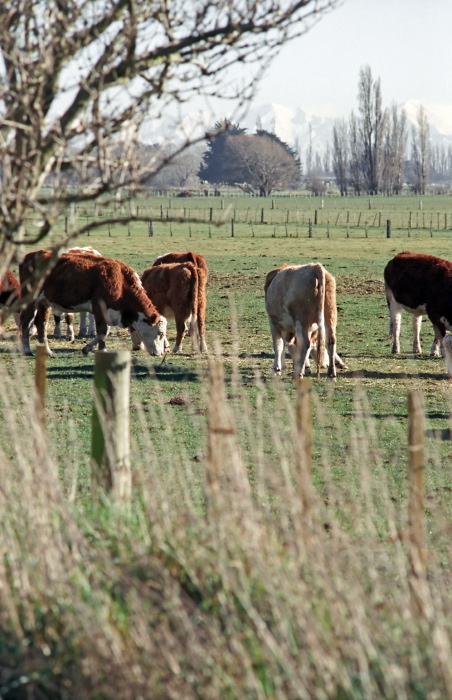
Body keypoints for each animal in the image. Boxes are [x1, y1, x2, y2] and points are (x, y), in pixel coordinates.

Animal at [19, 250, 168, 358]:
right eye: (160, 333)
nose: (160, 353)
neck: (121, 283)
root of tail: (30, 256)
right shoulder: (99, 308)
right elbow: (102, 331)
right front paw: (103, 350)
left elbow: (105, 331)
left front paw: (87, 348)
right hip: (30, 300)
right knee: (26, 322)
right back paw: (27, 350)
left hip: (44, 302)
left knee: (41, 324)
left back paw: (48, 351)